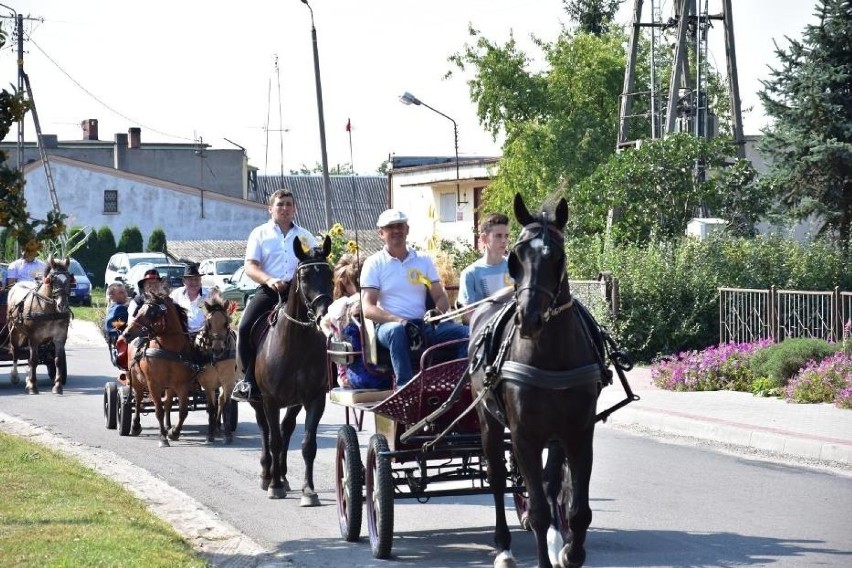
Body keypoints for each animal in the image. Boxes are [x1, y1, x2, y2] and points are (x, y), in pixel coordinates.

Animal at [6, 255, 73, 392]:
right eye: (52, 279)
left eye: (69, 278)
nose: (62, 305)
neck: (49, 310)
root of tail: (17, 285)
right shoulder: (34, 337)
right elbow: (34, 360)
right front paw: (32, 386)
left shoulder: (60, 337)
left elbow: (58, 360)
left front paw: (57, 386)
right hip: (14, 330)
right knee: (16, 351)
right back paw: (15, 376)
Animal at [123, 292, 196, 448]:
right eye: (138, 310)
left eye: (151, 312)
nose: (126, 333)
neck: (168, 351)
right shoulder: (153, 384)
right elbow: (158, 411)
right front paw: (163, 437)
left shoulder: (182, 385)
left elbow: (183, 411)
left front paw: (174, 432)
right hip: (137, 382)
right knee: (137, 402)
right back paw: (135, 426)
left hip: (169, 387)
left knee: (168, 403)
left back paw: (168, 426)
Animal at [194, 288, 240, 444]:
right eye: (208, 323)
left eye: (226, 323)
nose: (217, 349)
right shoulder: (208, 383)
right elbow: (211, 407)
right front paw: (210, 434)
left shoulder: (228, 381)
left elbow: (226, 404)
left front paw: (228, 435)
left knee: (221, 400)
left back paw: (220, 426)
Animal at [248, 234, 332, 502]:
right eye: (304, 278)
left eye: (330, 274)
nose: (324, 314)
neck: (295, 344)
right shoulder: (270, 400)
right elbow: (273, 440)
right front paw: (274, 486)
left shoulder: (315, 399)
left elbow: (308, 444)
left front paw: (309, 491)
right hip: (258, 401)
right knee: (265, 430)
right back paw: (268, 475)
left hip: (294, 402)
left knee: (286, 429)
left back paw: (283, 476)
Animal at [466, 195, 612, 568]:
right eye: (516, 258)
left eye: (557, 257)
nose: (528, 318)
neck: (551, 355)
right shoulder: (524, 435)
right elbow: (539, 511)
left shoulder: (578, 433)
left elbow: (575, 508)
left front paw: (570, 551)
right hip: (488, 422)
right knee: (498, 481)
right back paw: (503, 547)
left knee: (548, 485)